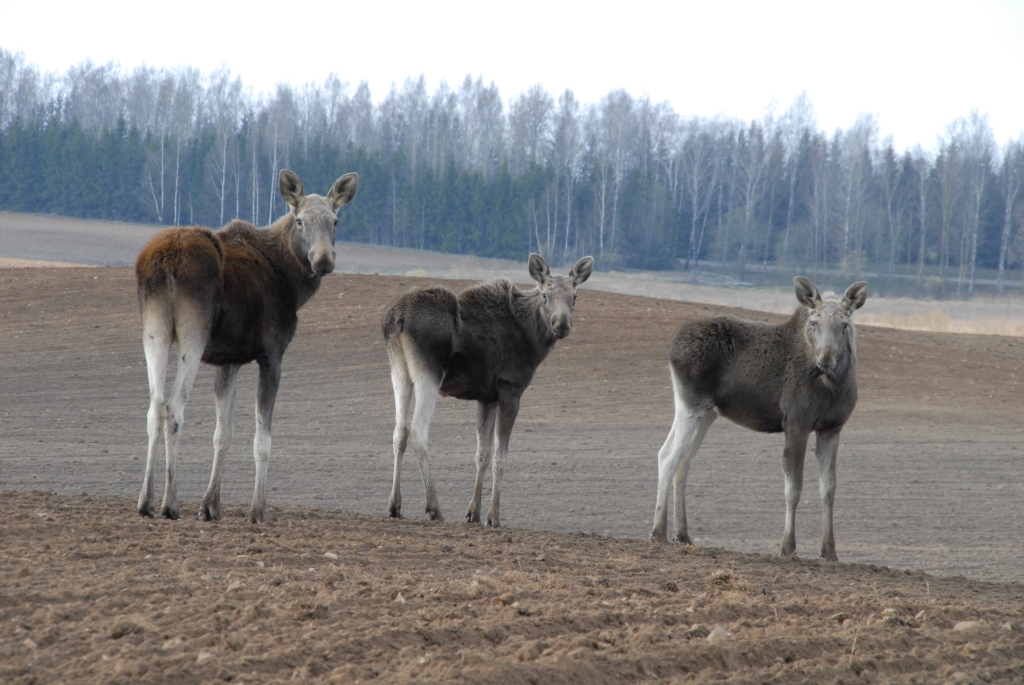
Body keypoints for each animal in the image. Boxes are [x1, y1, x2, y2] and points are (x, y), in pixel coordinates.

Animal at [135, 167, 360, 520]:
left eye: (335, 221)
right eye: (299, 221)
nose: (323, 260)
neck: (292, 284)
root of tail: (165, 264)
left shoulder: (229, 359)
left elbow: (222, 434)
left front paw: (210, 506)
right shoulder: (272, 354)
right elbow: (262, 440)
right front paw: (258, 510)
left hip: (154, 329)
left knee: (154, 405)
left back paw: (145, 501)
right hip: (192, 333)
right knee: (174, 407)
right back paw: (170, 504)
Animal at [647, 274, 864, 557]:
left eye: (845, 325)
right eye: (814, 322)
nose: (825, 360)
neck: (833, 387)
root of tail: (672, 346)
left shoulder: (832, 428)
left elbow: (828, 488)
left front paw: (829, 551)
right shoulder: (796, 423)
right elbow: (793, 487)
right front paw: (787, 547)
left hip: (707, 412)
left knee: (683, 463)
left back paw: (682, 534)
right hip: (691, 405)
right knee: (667, 456)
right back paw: (658, 532)